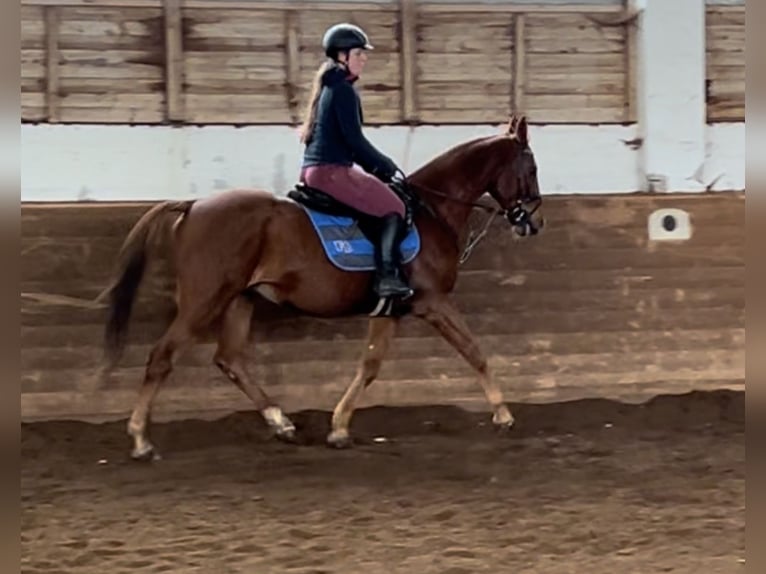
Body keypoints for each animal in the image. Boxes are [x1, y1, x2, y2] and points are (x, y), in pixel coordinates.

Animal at [100, 115, 544, 462]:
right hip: (204, 301)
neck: (431, 210)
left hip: (240, 300)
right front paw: (504, 415)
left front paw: (339, 428)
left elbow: (370, 365)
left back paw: (281, 423)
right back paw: (140, 440)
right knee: (162, 356)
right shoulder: (433, 302)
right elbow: (474, 351)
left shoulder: (390, 310)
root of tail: (192, 205)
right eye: (532, 168)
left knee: (230, 359)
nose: (533, 223)